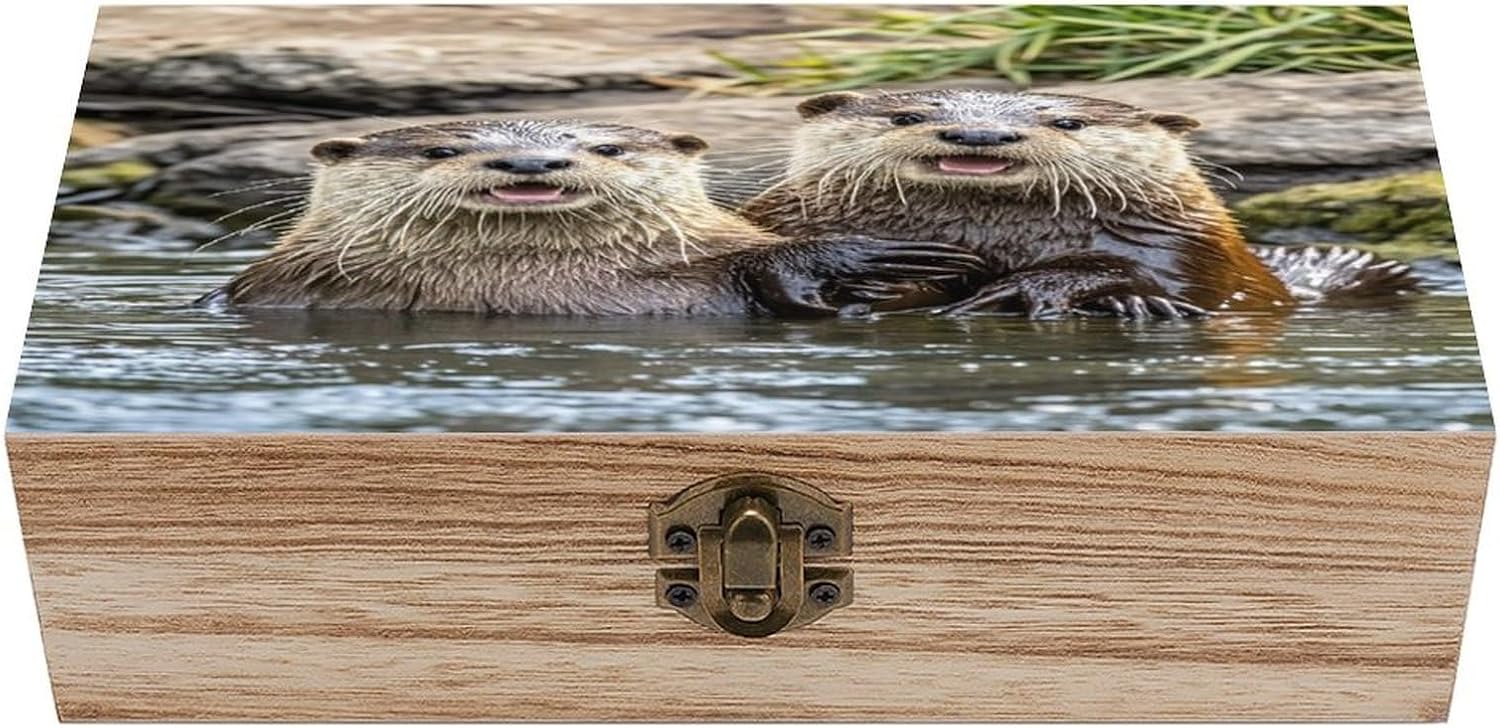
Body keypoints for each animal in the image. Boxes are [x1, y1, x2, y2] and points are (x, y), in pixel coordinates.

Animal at [741, 89, 1419, 318]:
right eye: (907, 116)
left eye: (1068, 122)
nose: (979, 135)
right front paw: (873, 273)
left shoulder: (1187, 246)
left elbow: (1171, 282)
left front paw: (1035, 289)